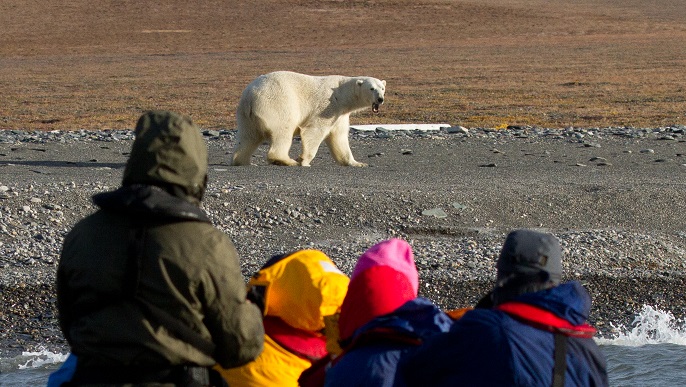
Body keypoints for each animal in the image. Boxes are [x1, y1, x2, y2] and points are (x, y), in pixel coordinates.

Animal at [232, 71, 388, 167]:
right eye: (371, 88)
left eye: (382, 88)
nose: (380, 99)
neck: (341, 94)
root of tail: (250, 96)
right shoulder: (327, 107)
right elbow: (314, 130)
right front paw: (304, 160)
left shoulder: (340, 114)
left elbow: (339, 137)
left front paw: (358, 163)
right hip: (277, 104)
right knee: (283, 131)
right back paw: (286, 160)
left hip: (245, 115)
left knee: (248, 137)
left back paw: (241, 160)